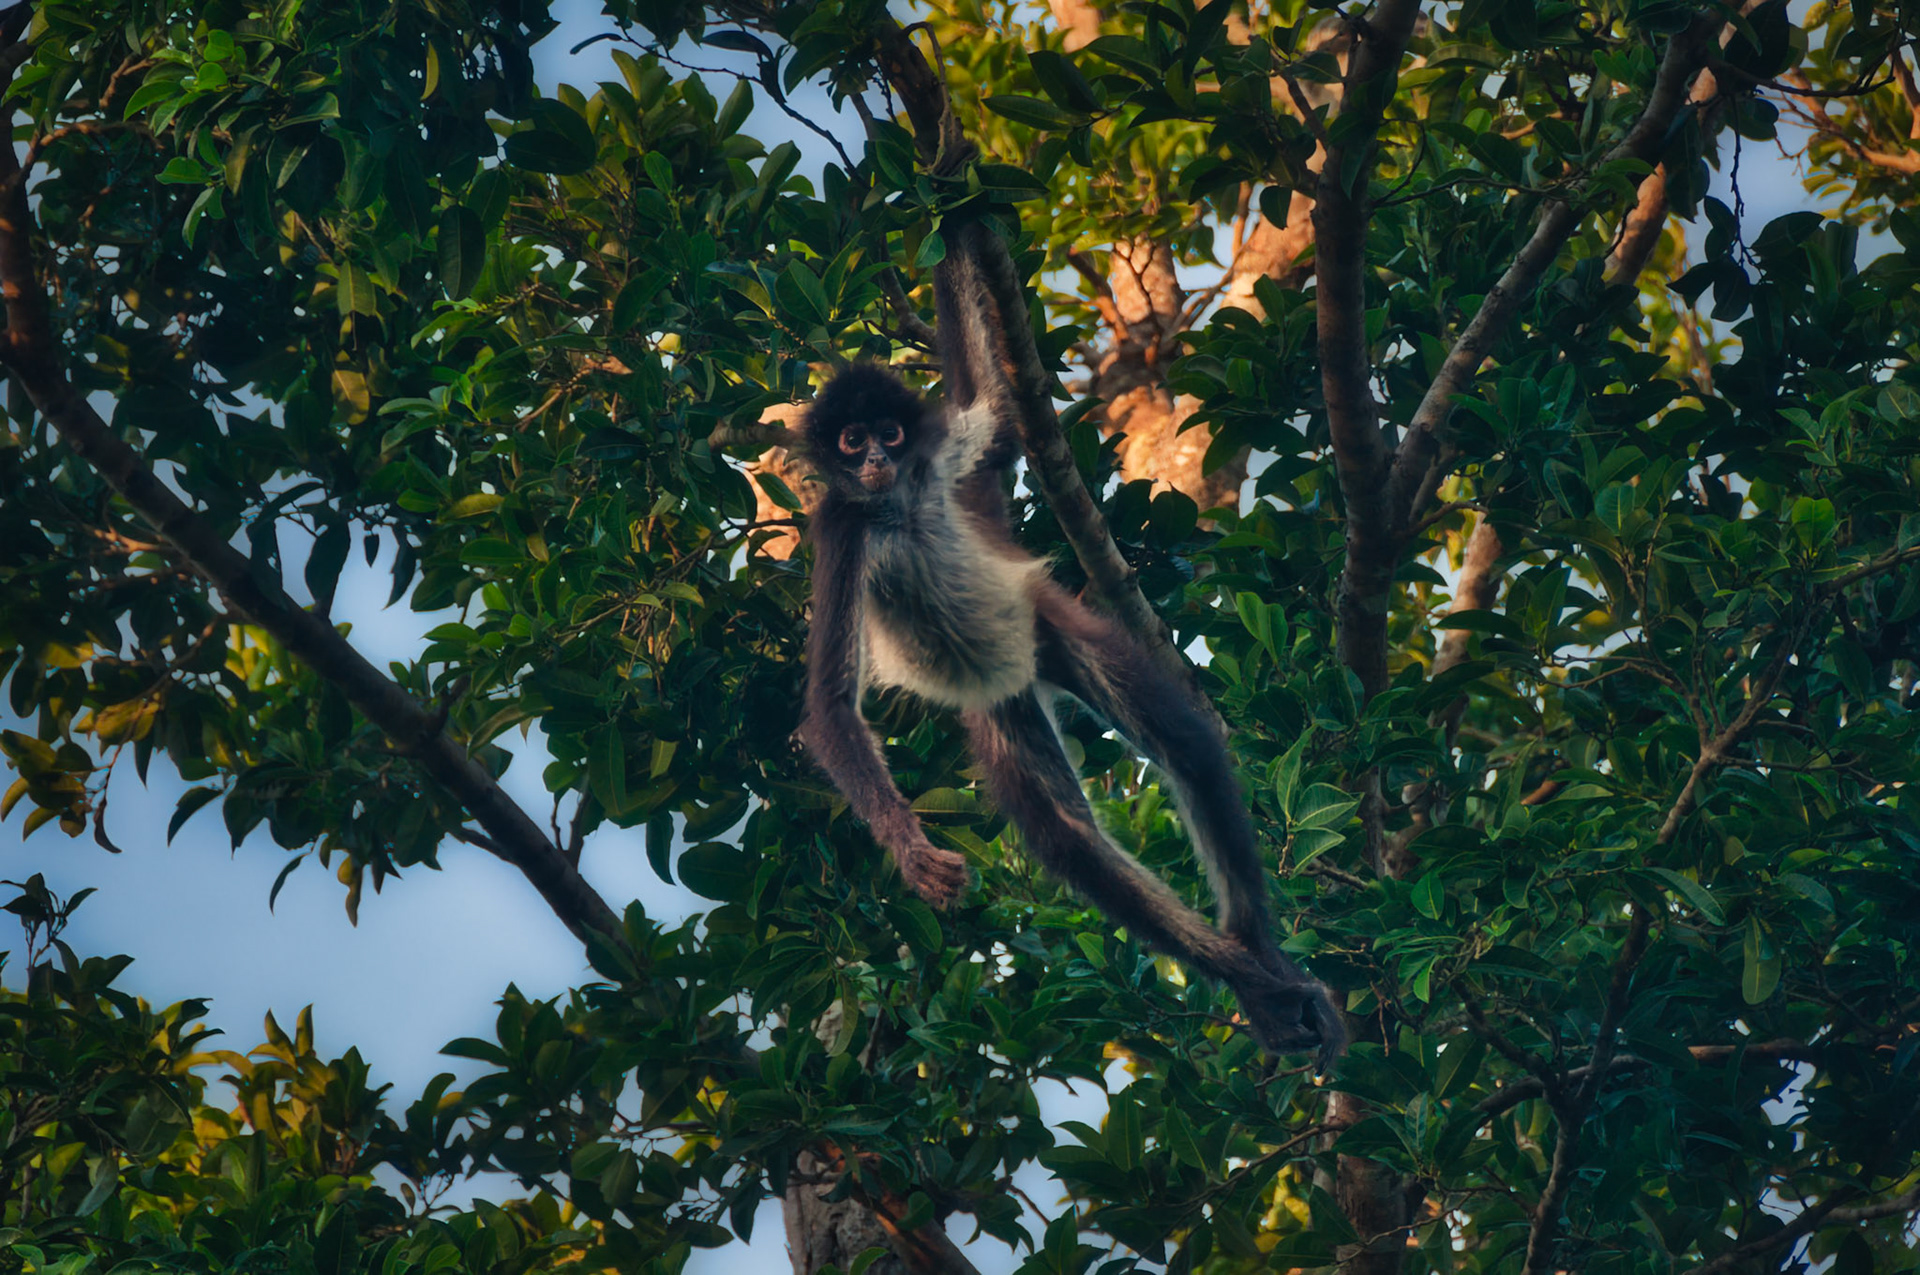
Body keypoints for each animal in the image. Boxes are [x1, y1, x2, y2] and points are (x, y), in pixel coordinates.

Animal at [795, 221, 1343, 1064]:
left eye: (886, 433)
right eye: (852, 442)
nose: (879, 459)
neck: (900, 506)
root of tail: (1019, 669)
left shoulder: (941, 461)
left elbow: (997, 414)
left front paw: (952, 202)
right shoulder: (842, 525)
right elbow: (829, 705)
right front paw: (911, 851)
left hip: (1046, 626)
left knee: (1184, 743)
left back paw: (1259, 953)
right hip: (1000, 699)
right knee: (1070, 840)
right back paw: (1257, 983)